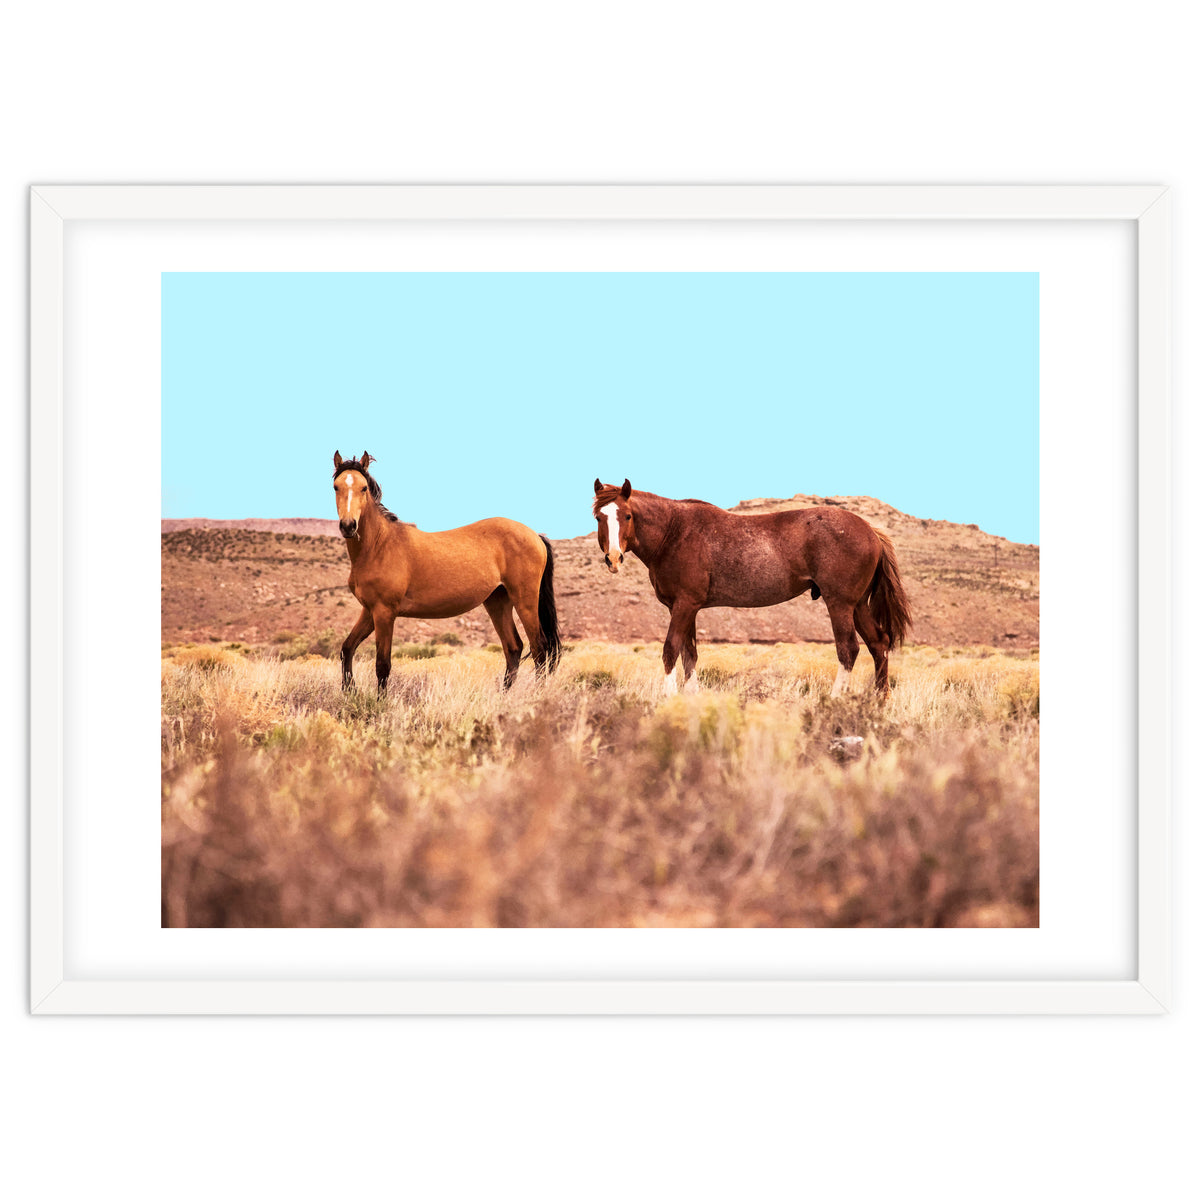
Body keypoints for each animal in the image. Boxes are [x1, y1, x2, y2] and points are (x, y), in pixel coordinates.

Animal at [332, 452, 561, 693]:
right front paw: (349, 690)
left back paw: (537, 695)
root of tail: (535, 535)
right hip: (497, 601)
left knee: (540, 649)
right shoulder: (369, 611)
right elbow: (347, 648)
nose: (348, 526)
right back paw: (504, 696)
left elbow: (382, 665)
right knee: (513, 648)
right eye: (336, 487)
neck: (379, 546)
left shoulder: (384, 612)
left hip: (525, 601)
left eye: (364, 488)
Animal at [592, 478, 912, 698]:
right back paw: (878, 701)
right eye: (599, 517)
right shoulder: (686, 608)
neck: (674, 532)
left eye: (627, 516)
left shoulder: (684, 605)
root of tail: (871, 531)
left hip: (840, 604)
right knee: (879, 644)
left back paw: (835, 700)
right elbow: (689, 654)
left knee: (849, 650)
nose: (613, 558)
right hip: (857, 606)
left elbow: (671, 650)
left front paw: (669, 698)